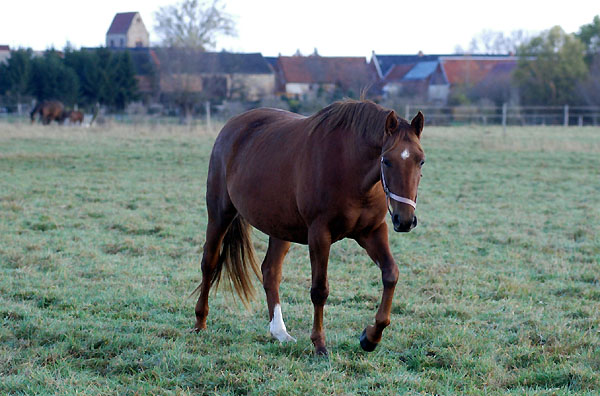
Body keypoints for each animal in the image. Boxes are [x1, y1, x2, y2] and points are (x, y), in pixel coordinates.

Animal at [193, 99, 426, 356]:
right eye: (386, 160)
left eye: (421, 161)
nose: (405, 220)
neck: (349, 167)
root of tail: (232, 125)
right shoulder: (319, 234)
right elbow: (319, 290)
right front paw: (319, 343)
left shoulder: (372, 232)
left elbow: (391, 274)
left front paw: (371, 337)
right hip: (219, 214)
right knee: (209, 263)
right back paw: (200, 322)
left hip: (280, 228)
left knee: (270, 271)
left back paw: (280, 332)